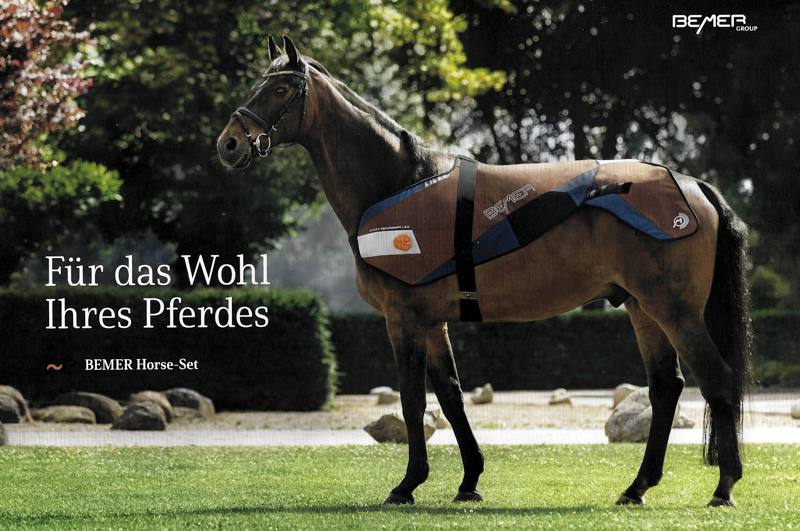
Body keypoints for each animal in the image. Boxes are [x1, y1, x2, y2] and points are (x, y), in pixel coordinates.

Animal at [217, 35, 752, 508]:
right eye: (260, 85)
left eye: (280, 89)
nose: (229, 144)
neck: (399, 183)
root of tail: (692, 185)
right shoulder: (432, 321)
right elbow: (450, 396)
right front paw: (468, 480)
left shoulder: (403, 319)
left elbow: (413, 401)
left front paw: (406, 485)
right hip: (642, 308)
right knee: (666, 387)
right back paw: (637, 487)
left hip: (674, 311)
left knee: (716, 380)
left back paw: (723, 487)